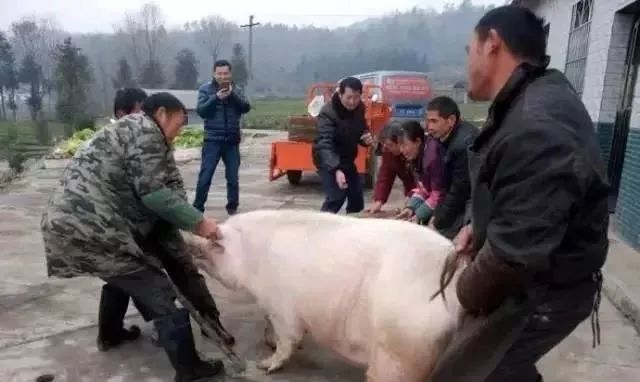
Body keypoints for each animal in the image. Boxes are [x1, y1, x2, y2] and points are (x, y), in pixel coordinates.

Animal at [184, 209, 464, 382]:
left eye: (212, 244)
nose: (186, 240)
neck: (251, 256)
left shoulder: (282, 304)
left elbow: (287, 336)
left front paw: (265, 364)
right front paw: (268, 344)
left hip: (402, 344)